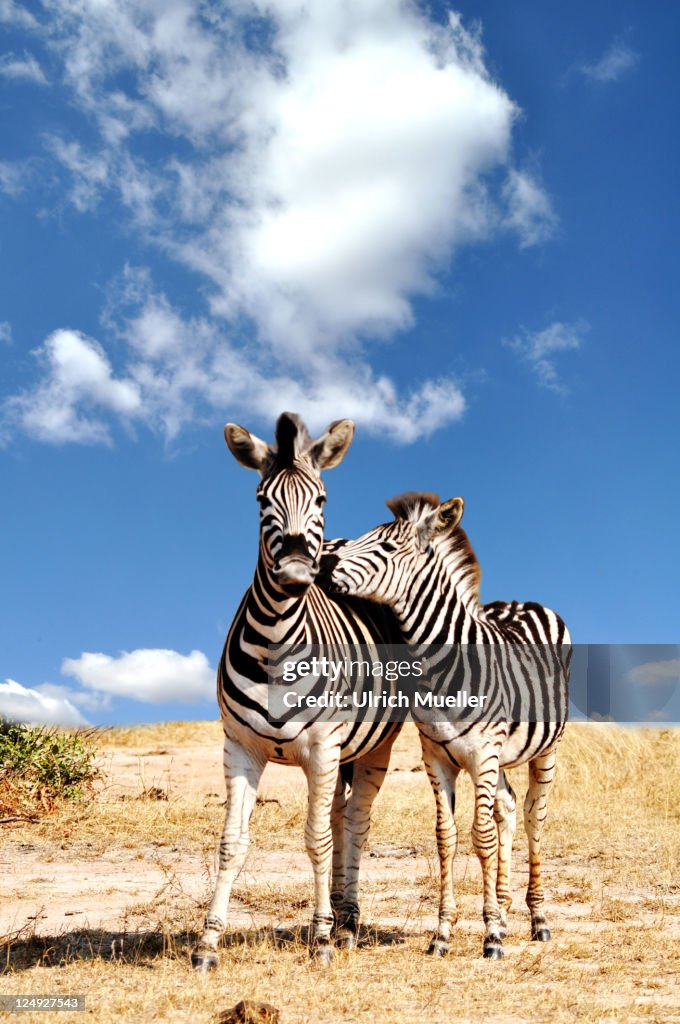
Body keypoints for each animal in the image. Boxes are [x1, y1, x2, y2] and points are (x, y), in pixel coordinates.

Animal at [192, 412, 402, 971]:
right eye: (261, 499)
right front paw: (208, 942)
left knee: (354, 822)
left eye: (322, 498)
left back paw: (346, 922)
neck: (275, 644)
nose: (293, 574)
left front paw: (323, 937)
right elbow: (232, 843)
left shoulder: (323, 747)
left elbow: (317, 839)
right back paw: (340, 912)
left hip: (372, 748)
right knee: (340, 814)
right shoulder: (240, 747)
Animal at [322, 491, 571, 960]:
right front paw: (443, 933)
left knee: (534, 817)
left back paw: (537, 919)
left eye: (385, 548)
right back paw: (506, 911)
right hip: (498, 759)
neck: (443, 666)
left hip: (544, 749)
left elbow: (481, 836)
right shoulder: (436, 756)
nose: (323, 564)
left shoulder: (483, 755)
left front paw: (490, 936)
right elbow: (447, 837)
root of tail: (522, 601)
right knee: (508, 808)